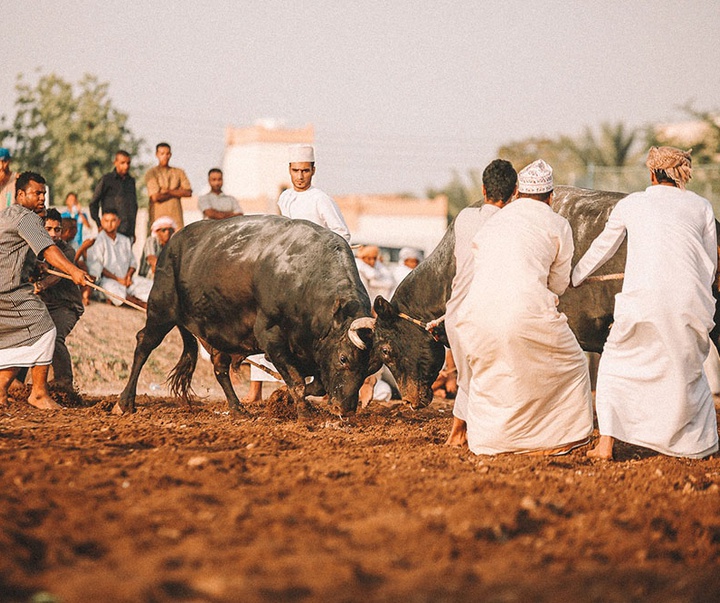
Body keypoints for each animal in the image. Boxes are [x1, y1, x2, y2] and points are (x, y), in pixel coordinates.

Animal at [114, 215, 374, 418]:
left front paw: (281, 397)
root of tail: (173, 242)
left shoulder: (312, 352)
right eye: (343, 358)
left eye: (370, 368)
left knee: (219, 367)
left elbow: (316, 385)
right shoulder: (270, 337)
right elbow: (297, 381)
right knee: (144, 344)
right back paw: (124, 402)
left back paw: (237, 408)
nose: (346, 409)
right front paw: (303, 413)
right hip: (161, 311)